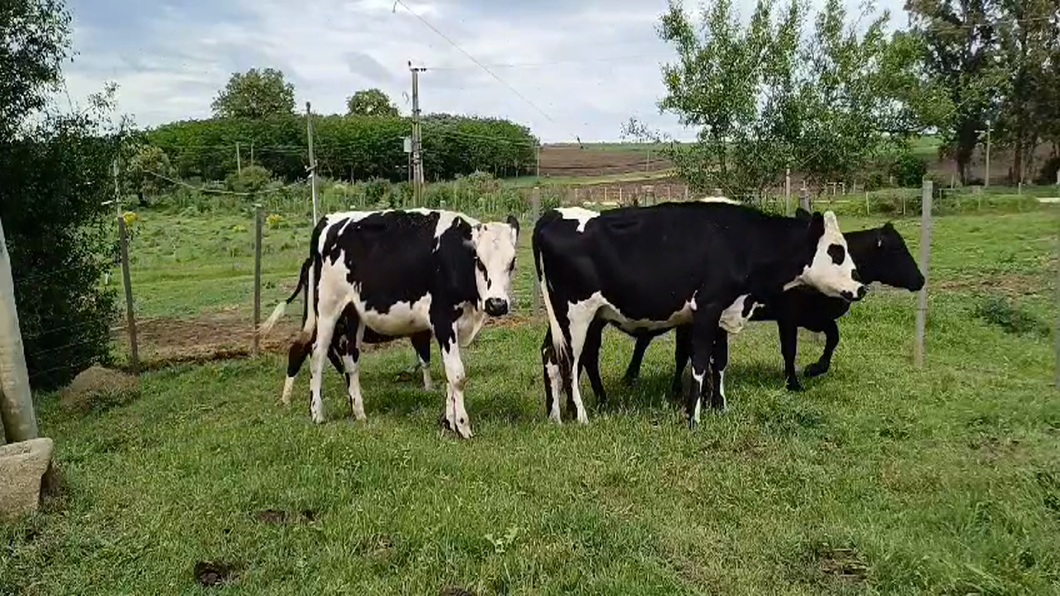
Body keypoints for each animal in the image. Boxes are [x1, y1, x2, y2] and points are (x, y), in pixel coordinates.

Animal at [260, 208, 517, 436]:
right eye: (479, 261)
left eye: (512, 262)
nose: (497, 304)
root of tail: (327, 220)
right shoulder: (442, 320)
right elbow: (457, 376)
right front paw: (463, 427)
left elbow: (449, 375)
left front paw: (449, 422)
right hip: (326, 310)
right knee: (316, 355)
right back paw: (317, 413)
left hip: (352, 315)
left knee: (350, 360)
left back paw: (359, 413)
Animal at [534, 201, 864, 424]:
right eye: (836, 251)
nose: (861, 287)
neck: (737, 240)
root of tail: (551, 215)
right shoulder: (708, 308)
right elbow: (701, 362)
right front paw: (693, 418)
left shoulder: (722, 313)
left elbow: (720, 362)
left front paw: (720, 405)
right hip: (576, 315)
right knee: (570, 360)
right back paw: (580, 415)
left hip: (570, 318)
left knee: (551, 354)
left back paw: (555, 415)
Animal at [619, 214, 928, 394]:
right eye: (897, 249)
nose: (921, 279)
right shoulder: (788, 317)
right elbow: (790, 349)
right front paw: (794, 381)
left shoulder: (815, 317)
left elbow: (833, 338)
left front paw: (816, 368)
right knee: (649, 341)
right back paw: (633, 377)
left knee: (678, 350)